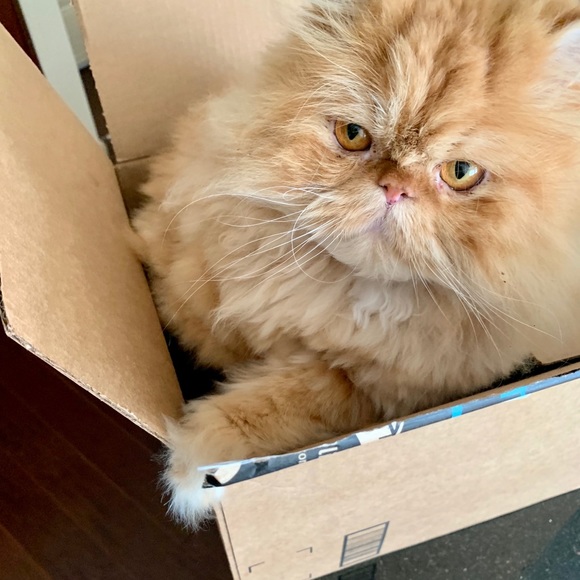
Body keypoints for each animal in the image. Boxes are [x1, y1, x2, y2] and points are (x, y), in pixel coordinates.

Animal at [132, 0, 580, 528]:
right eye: (353, 136)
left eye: (461, 173)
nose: (393, 188)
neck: (345, 294)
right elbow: (193, 322)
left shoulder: (374, 393)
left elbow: (276, 406)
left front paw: (195, 469)